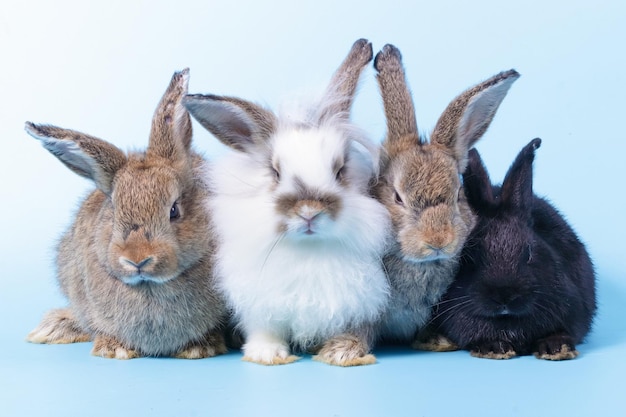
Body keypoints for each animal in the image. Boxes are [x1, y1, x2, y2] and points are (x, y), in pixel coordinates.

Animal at [182, 38, 390, 364]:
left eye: (340, 171)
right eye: (275, 172)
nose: (309, 213)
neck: (307, 250)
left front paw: (341, 352)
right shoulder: (259, 304)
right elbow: (265, 329)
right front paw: (266, 354)